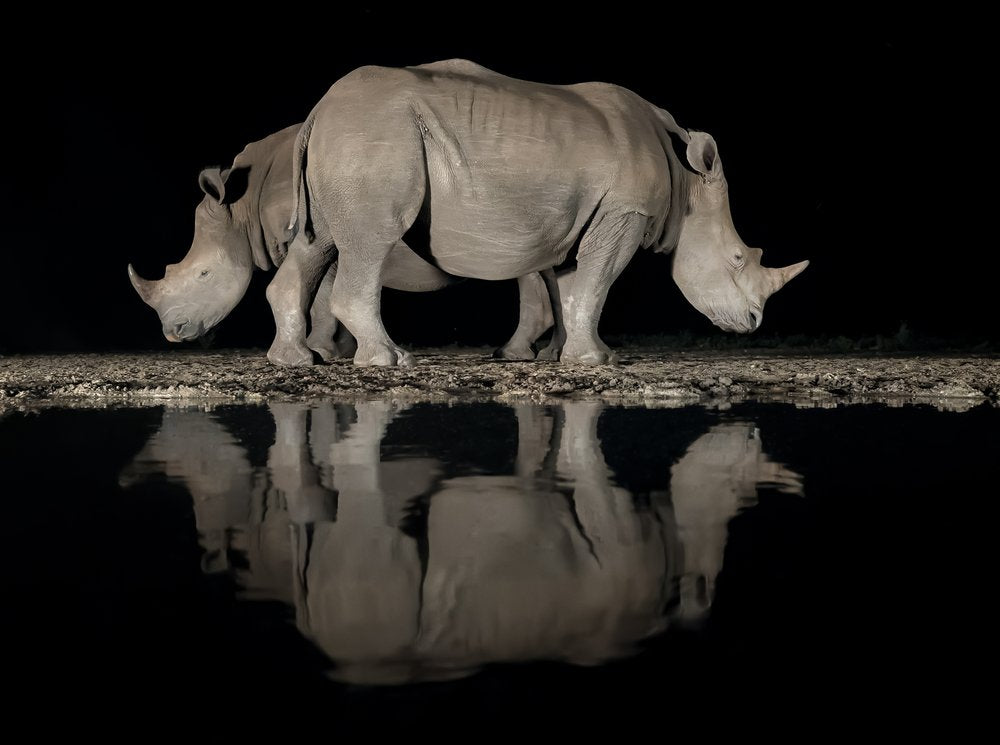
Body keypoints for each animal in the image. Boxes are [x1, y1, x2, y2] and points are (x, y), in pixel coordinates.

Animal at [127, 124, 564, 365]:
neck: (242, 207)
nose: (173, 333)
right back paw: (540, 354)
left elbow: (320, 295)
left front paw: (322, 350)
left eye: (204, 274)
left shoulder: (313, 235)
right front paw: (339, 349)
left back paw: (521, 354)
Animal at [288, 59, 808, 366]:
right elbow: (597, 283)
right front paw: (596, 362)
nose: (753, 323)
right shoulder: (625, 210)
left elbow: (572, 288)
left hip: (353, 137)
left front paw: (567, 356)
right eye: (738, 258)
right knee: (372, 239)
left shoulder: (578, 215)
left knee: (319, 242)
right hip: (376, 136)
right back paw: (388, 360)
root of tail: (318, 110)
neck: (685, 189)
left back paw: (297, 360)